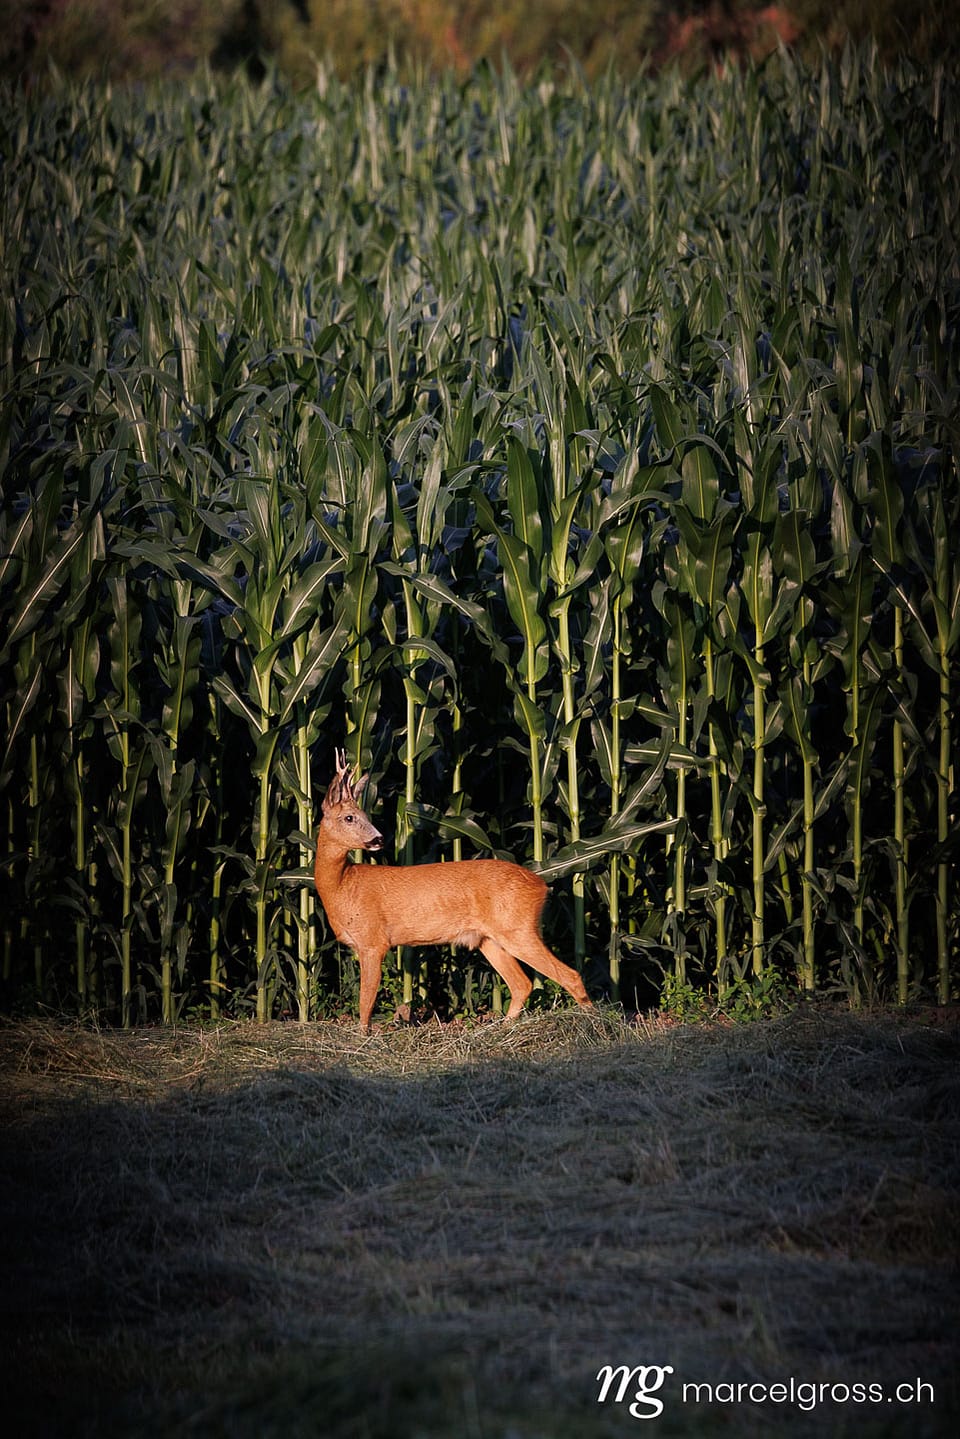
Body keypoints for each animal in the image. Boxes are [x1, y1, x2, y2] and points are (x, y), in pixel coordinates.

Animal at [314, 750, 593, 1033]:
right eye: (349, 817)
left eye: (366, 816)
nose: (379, 839)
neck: (342, 886)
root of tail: (541, 884)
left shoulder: (373, 941)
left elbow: (365, 1002)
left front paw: (364, 1037)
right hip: (489, 938)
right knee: (521, 984)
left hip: (518, 928)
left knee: (570, 975)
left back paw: (593, 1024)